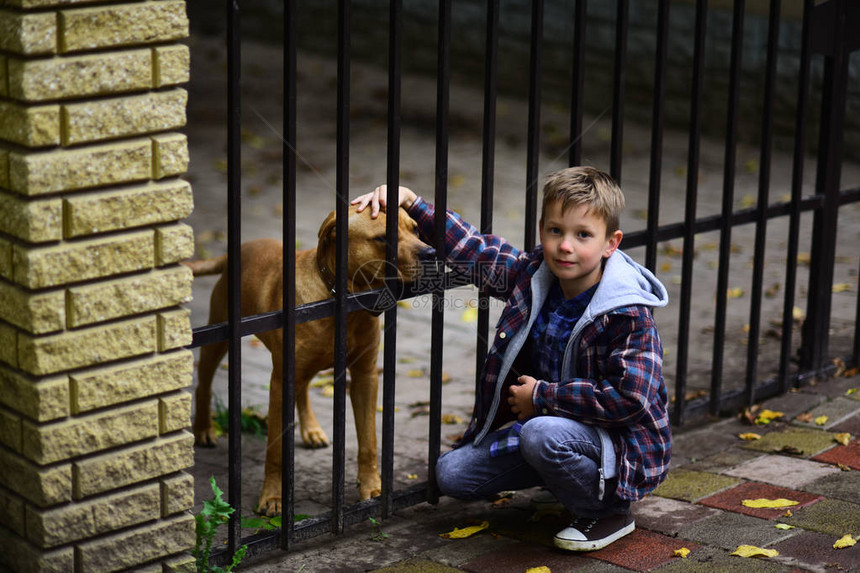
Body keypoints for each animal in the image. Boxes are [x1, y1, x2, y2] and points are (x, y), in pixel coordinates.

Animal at [186, 204, 434, 512]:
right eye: (382, 238)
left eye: (416, 229)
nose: (431, 253)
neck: (342, 298)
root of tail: (238, 250)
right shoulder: (280, 382)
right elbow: (276, 451)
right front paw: (272, 496)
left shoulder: (365, 377)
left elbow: (369, 442)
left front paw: (373, 488)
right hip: (219, 336)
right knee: (204, 384)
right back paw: (204, 428)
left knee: (303, 389)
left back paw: (311, 429)